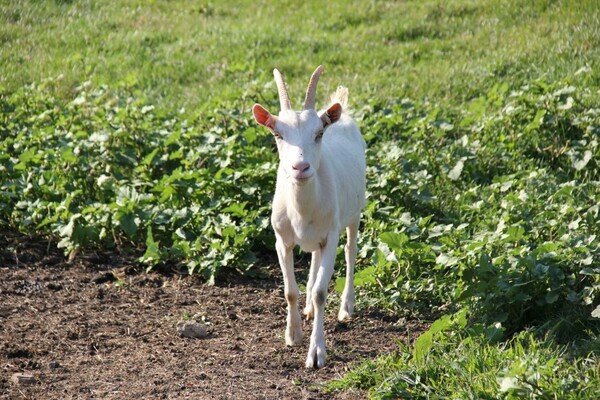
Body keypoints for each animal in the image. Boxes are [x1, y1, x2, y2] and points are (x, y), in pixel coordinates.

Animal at [252, 65, 366, 368]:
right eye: (277, 134)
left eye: (318, 132)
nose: (300, 167)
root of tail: (341, 113)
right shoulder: (281, 240)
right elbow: (290, 290)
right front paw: (293, 334)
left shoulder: (330, 237)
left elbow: (320, 292)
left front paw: (316, 353)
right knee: (314, 260)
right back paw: (308, 310)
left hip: (354, 214)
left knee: (351, 251)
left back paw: (346, 307)